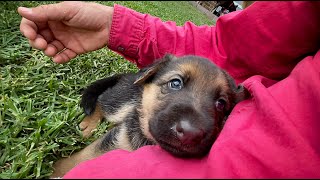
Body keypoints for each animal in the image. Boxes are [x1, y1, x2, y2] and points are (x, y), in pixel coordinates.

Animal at [50, 54, 250, 178]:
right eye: (175, 83)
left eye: (221, 104)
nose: (190, 133)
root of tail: (128, 75)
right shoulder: (119, 136)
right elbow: (81, 157)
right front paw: (55, 170)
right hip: (122, 103)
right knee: (102, 100)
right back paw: (89, 125)